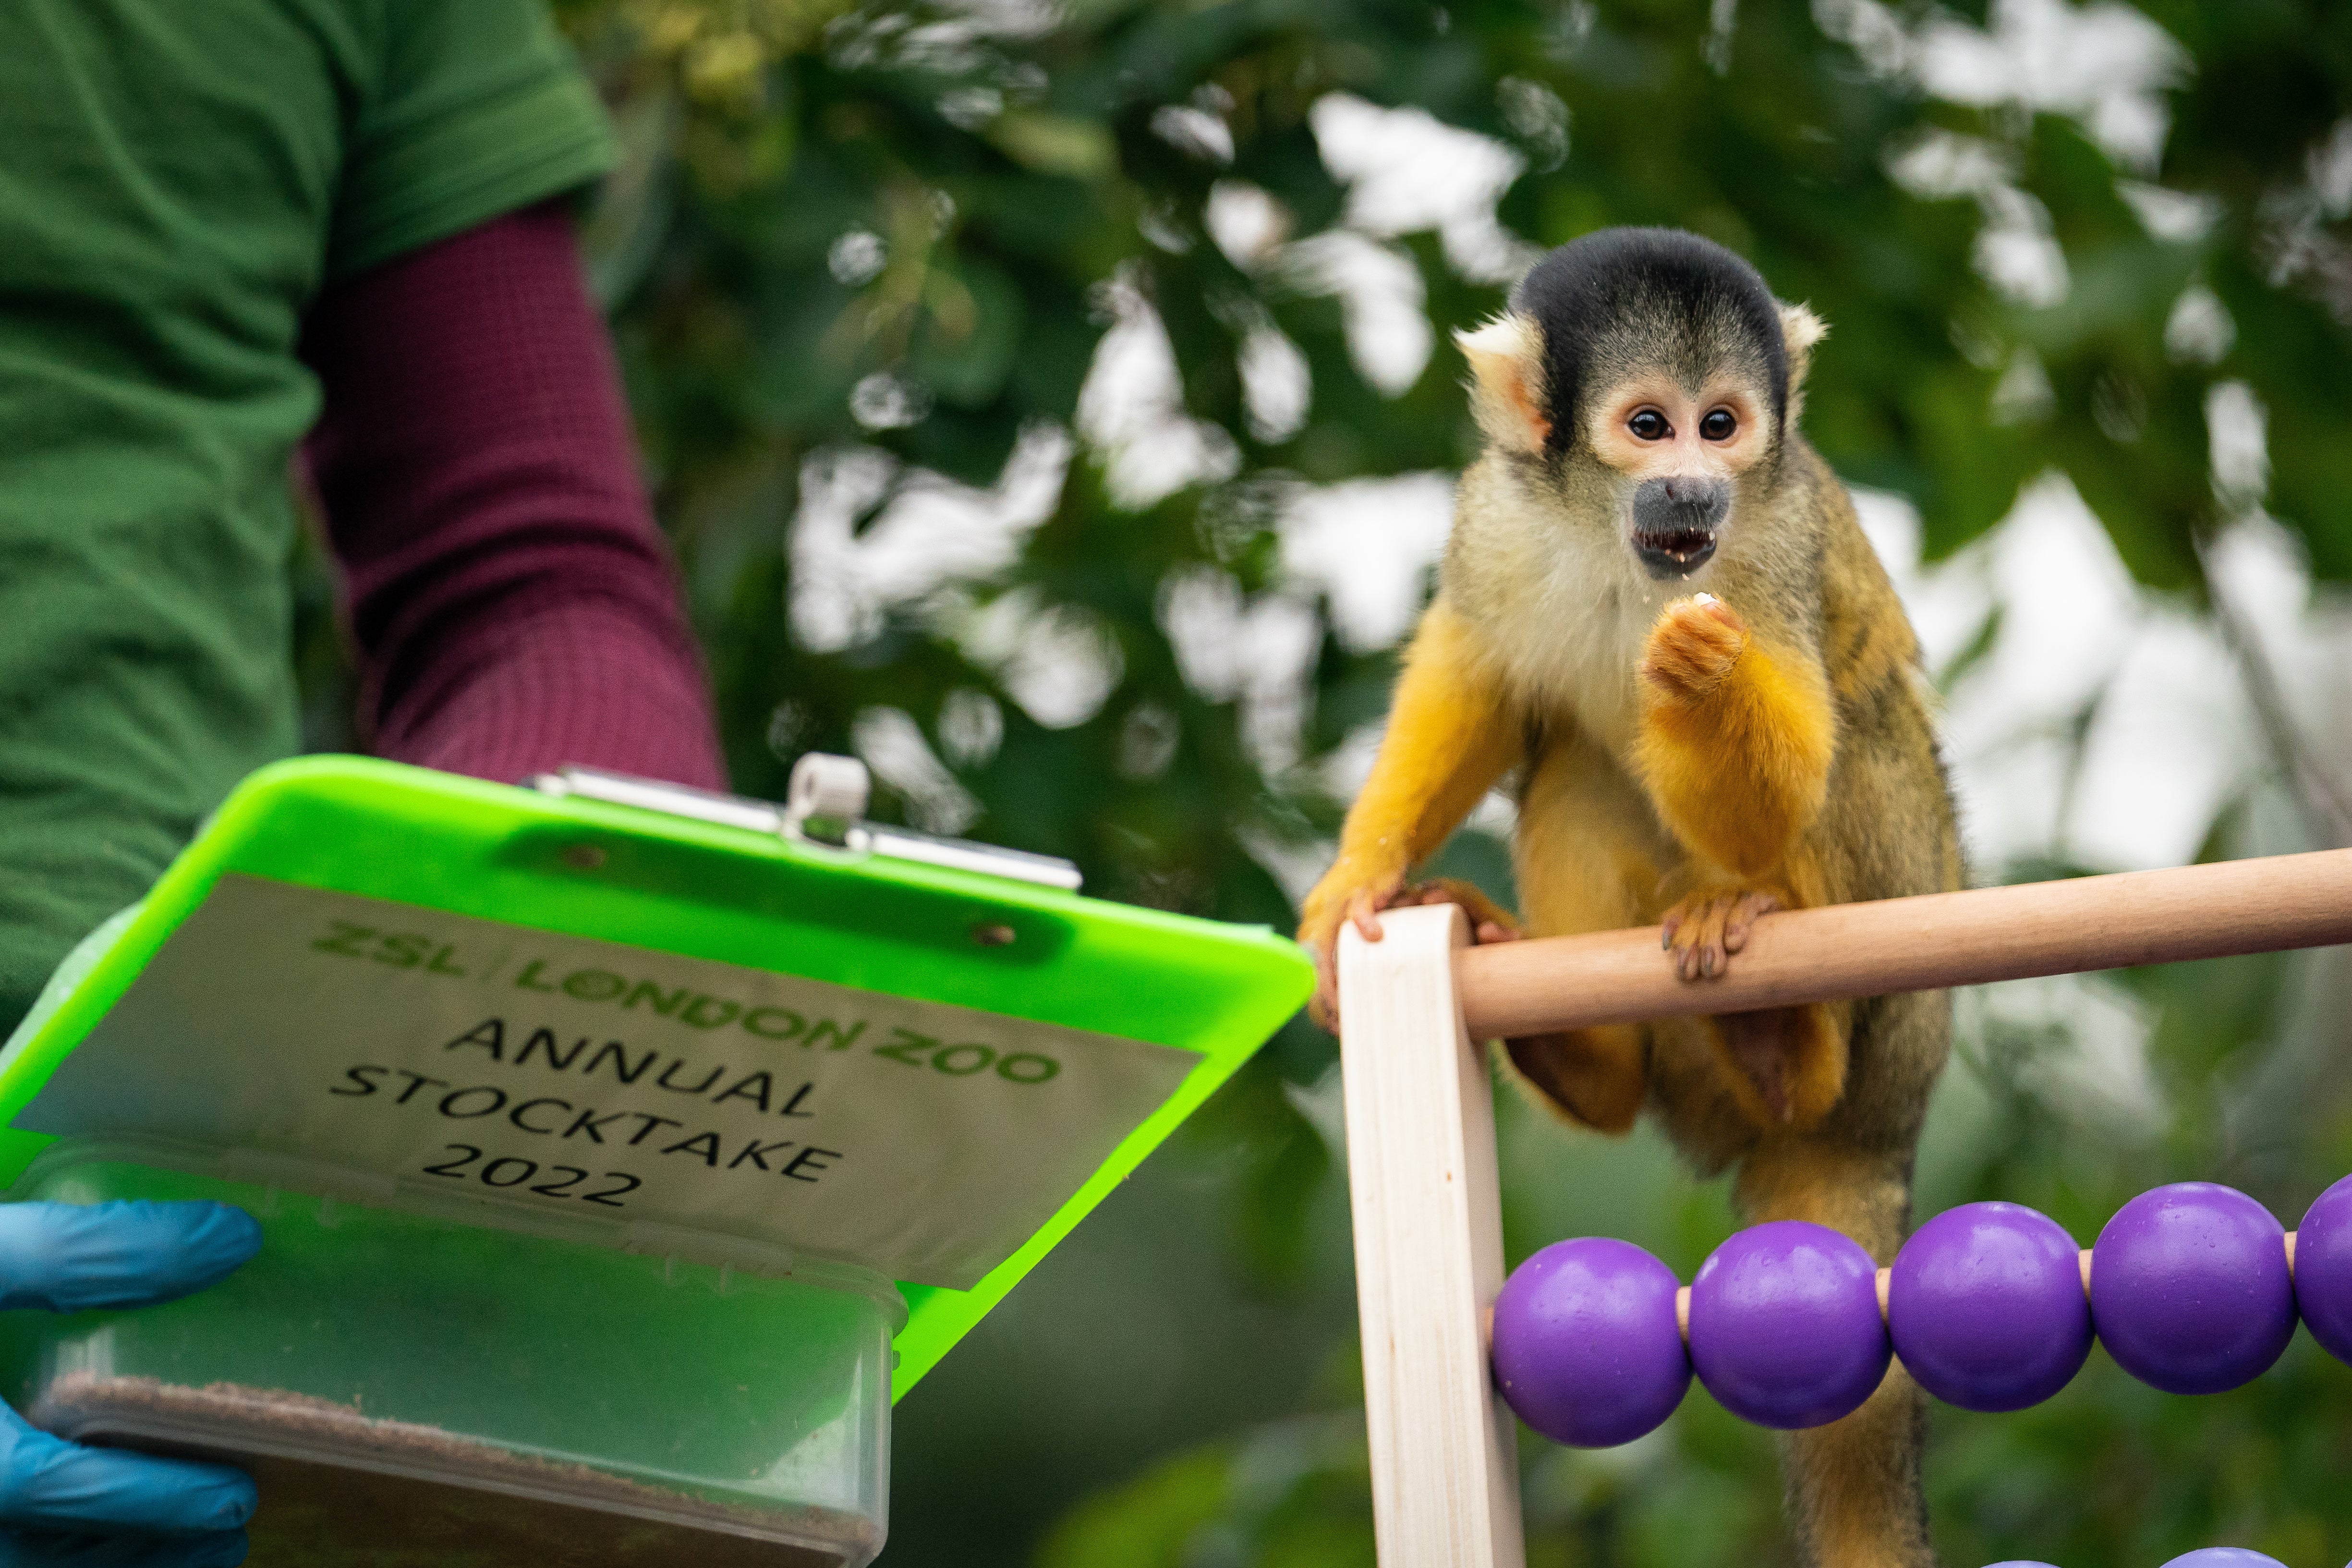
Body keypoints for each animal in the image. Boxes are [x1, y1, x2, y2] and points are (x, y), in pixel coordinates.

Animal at [1308, 227, 1966, 1561]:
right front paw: (1356, 877)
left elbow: (1798, 757)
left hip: (1905, 940)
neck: (1615, 540)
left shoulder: (1773, 542)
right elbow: (1474, 671)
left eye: (1721, 426)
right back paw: (1591, 1064)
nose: (1693, 491)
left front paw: (1703, 676)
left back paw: (1782, 1033)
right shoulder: (1495, 512)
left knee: (1860, 735)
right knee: (1572, 768)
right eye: (1649, 426)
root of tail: (1890, 1119)